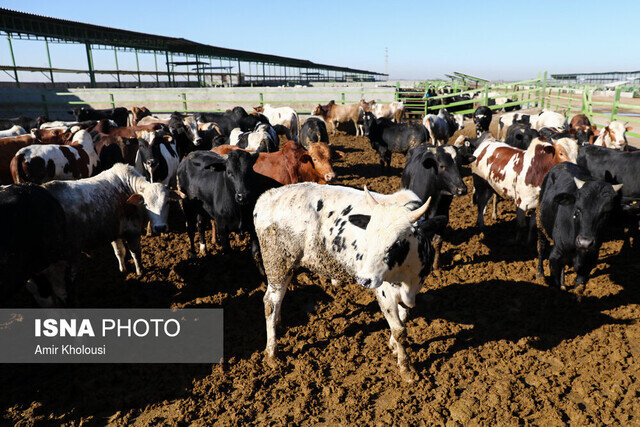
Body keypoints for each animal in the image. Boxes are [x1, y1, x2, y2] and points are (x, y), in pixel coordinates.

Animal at [254, 182, 444, 382]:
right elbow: (399, 330)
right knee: (270, 302)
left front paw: (393, 346)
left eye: (397, 243)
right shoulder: (384, 292)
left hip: (286, 267)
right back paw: (272, 352)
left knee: (278, 299)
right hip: (277, 264)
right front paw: (406, 369)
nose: (364, 279)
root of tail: (268, 196)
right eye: (368, 236)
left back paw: (279, 324)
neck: (408, 274)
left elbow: (403, 318)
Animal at [536, 161, 624, 294]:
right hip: (540, 225)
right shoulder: (555, 256)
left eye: (606, 213)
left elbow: (578, 286)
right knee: (541, 247)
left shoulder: (590, 261)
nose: (585, 243)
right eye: (578, 209)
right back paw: (540, 275)